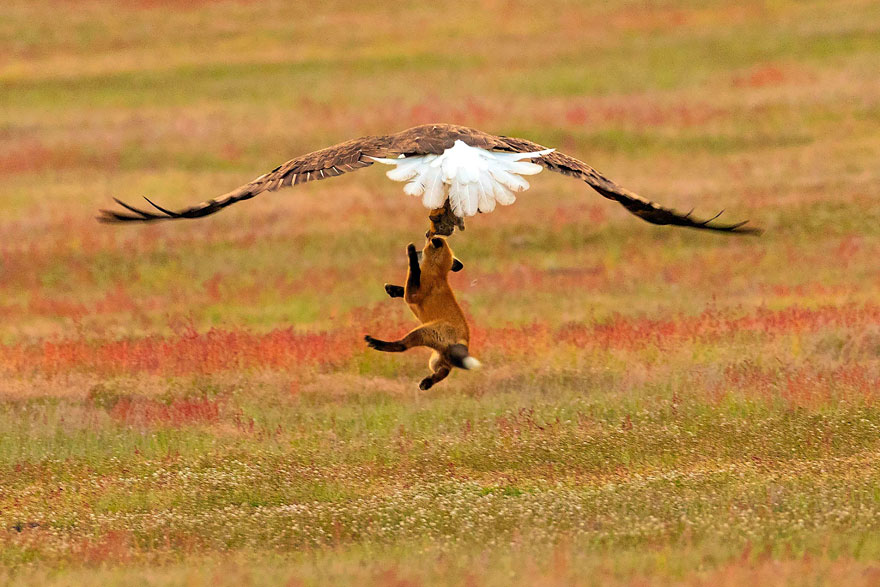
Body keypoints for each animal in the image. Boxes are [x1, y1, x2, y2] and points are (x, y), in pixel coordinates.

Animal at [365, 236, 481, 390]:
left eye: (422, 249)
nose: (417, 250)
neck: (437, 274)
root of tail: (465, 340)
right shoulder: (412, 293)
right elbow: (405, 287)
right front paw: (392, 289)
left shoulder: (413, 295)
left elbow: (413, 273)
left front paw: (411, 254)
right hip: (437, 360)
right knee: (444, 371)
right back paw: (428, 382)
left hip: (423, 332)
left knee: (401, 346)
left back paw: (375, 342)